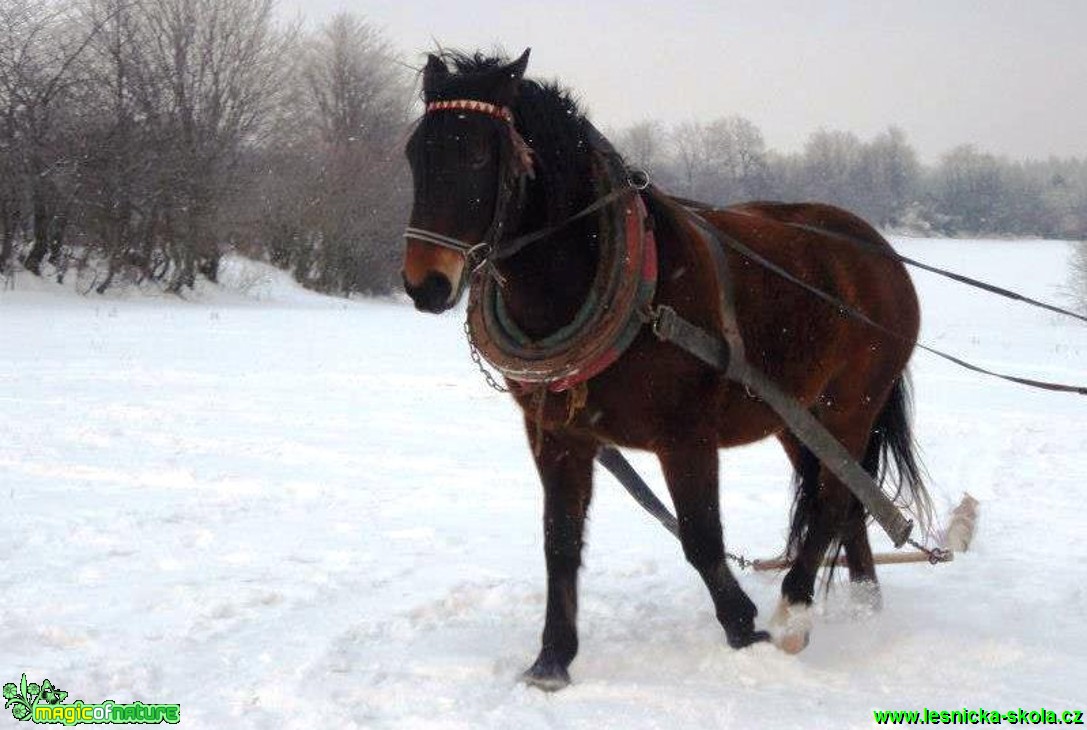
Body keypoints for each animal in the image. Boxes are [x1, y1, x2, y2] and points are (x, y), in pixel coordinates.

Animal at [400, 49, 926, 690]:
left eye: (477, 154)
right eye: (415, 152)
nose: (425, 284)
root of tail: (878, 250)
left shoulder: (685, 437)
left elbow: (701, 538)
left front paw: (743, 629)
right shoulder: (559, 436)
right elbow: (559, 541)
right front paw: (552, 660)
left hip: (851, 405)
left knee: (830, 501)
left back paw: (794, 612)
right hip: (796, 418)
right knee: (847, 500)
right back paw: (865, 604)